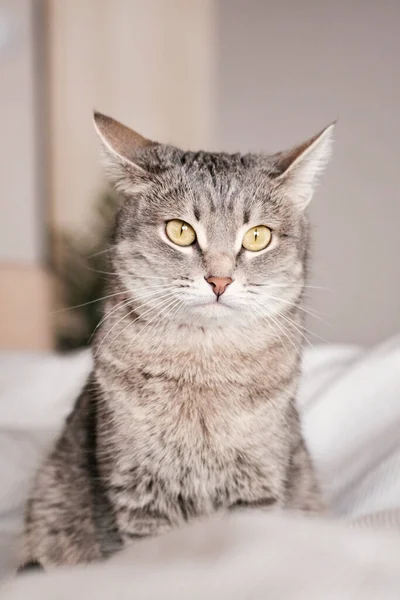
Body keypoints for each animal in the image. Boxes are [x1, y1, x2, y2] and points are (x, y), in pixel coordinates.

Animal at [21, 111, 334, 568]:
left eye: (258, 236)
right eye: (180, 231)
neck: (202, 370)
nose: (219, 280)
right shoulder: (137, 490)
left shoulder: (258, 482)